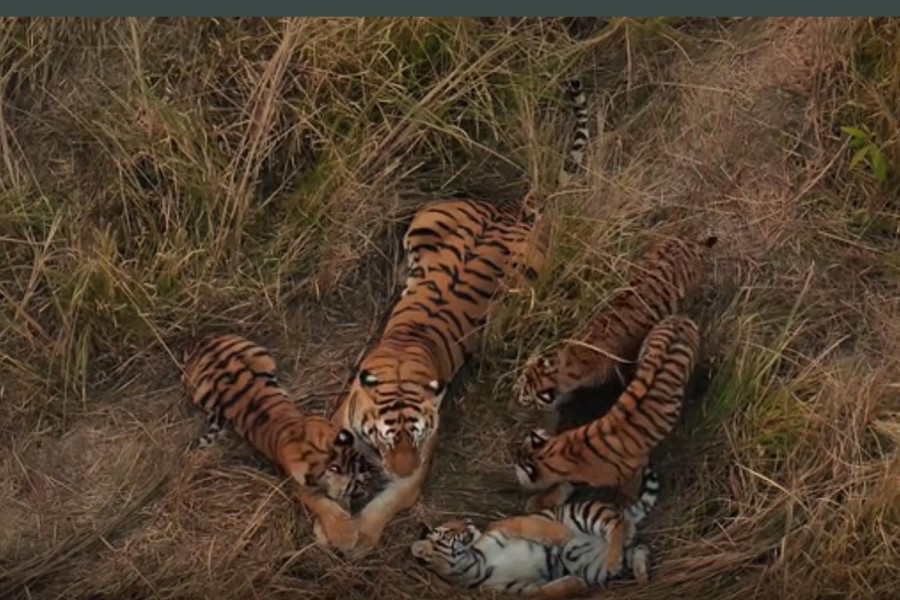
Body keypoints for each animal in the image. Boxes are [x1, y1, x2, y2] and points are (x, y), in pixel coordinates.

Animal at [181, 333, 374, 548]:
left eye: (362, 464)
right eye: (353, 485)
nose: (371, 480)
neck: (317, 450)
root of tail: (201, 342)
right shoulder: (298, 485)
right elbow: (322, 504)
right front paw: (345, 535)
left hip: (261, 359)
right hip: (202, 393)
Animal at [317, 80, 593, 553]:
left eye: (417, 437)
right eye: (386, 436)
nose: (401, 468)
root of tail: (515, 211)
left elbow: (383, 509)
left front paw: (356, 537)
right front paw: (332, 526)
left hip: (526, 274)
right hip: (426, 222)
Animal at [410, 466, 660, 598]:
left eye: (458, 521)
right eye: (448, 531)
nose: (468, 521)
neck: (471, 564)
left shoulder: (503, 527)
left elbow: (533, 525)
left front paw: (562, 535)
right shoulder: (518, 589)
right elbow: (541, 593)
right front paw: (576, 584)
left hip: (585, 513)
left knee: (615, 524)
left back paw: (614, 557)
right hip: (595, 566)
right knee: (638, 547)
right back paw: (641, 574)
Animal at [514, 315, 699, 512]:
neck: (568, 451)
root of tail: (680, 318)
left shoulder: (636, 468)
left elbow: (628, 489)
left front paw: (625, 504)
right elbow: (564, 485)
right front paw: (540, 502)